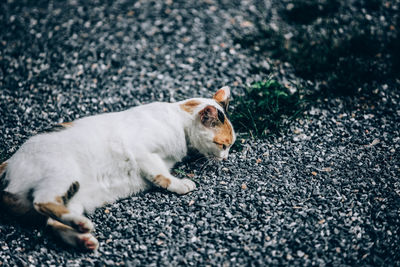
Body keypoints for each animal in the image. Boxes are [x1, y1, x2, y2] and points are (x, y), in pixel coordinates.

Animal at [0, 87, 234, 252]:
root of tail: (8, 162)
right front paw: (180, 184)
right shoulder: (140, 151)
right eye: (223, 145)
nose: (226, 158)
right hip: (62, 174)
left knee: (52, 222)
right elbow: (160, 173)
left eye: (231, 146)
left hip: (74, 196)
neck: (178, 121)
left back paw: (84, 238)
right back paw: (83, 225)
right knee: (42, 202)